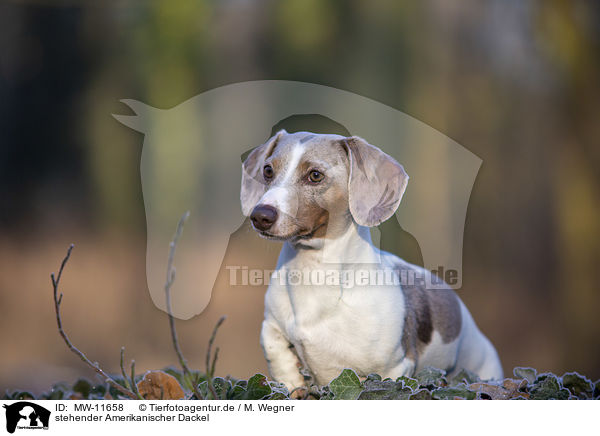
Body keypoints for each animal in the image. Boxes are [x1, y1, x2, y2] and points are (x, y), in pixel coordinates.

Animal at [239, 129, 502, 388]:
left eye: (315, 175)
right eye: (268, 170)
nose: (260, 216)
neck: (314, 274)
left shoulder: (393, 370)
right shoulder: (271, 323)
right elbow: (274, 349)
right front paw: (292, 382)